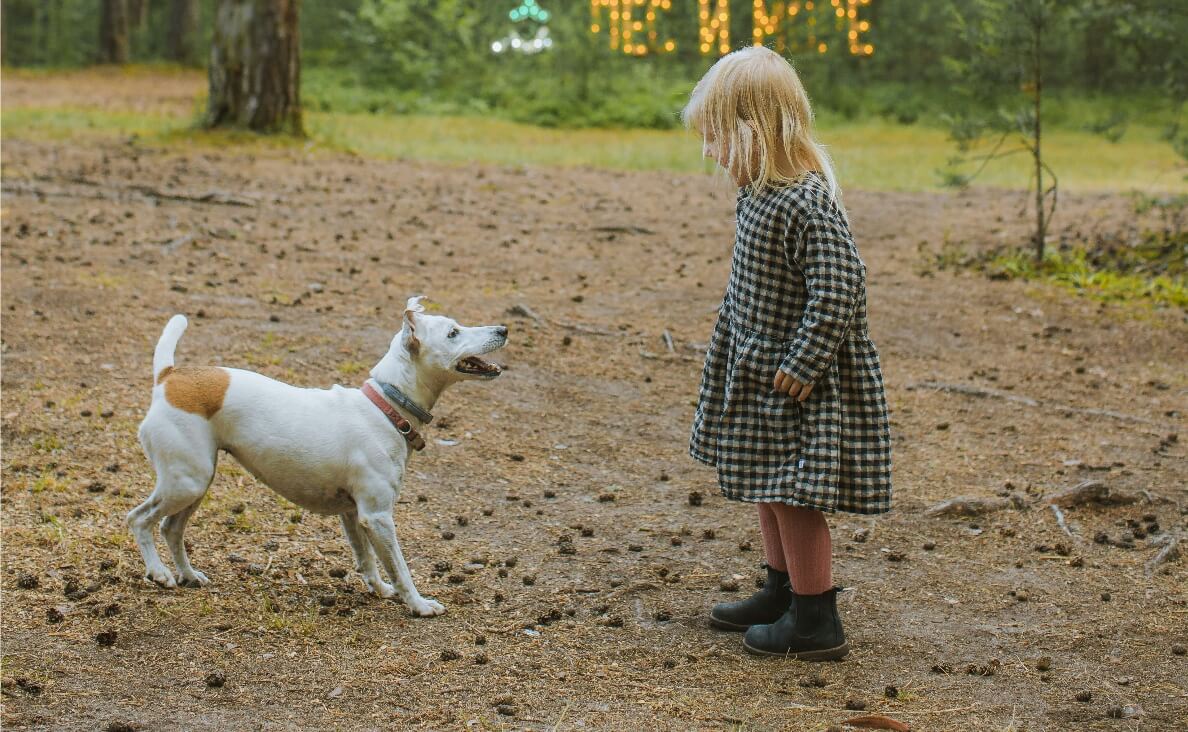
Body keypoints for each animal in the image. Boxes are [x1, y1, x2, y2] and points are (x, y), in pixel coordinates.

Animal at [127, 294, 508, 613]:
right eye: (453, 333)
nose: (503, 329)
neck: (387, 406)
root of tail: (169, 377)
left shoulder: (354, 514)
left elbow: (367, 560)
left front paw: (380, 589)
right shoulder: (378, 516)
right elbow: (400, 568)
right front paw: (418, 604)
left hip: (197, 481)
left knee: (171, 529)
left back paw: (189, 575)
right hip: (186, 482)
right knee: (139, 520)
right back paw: (159, 572)